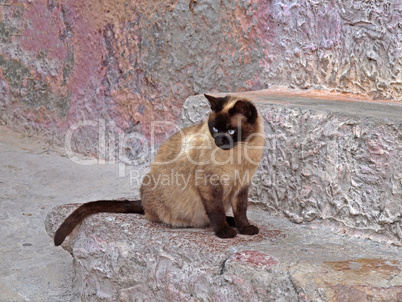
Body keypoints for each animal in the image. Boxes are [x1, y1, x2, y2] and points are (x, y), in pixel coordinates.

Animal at [54, 94, 266, 245]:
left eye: (230, 131)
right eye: (214, 129)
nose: (219, 142)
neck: (241, 151)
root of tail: (143, 201)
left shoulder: (242, 185)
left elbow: (241, 211)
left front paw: (245, 228)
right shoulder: (209, 183)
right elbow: (216, 210)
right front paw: (224, 232)